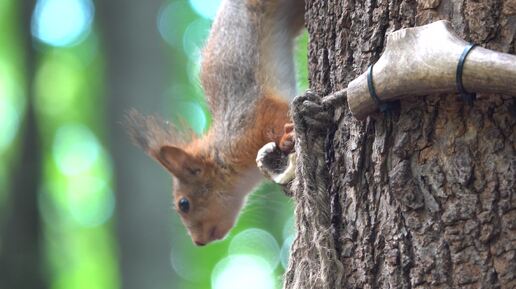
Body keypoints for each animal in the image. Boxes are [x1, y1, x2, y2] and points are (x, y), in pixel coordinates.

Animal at [125, 0, 302, 245]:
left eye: (184, 204)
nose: (198, 242)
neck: (225, 152)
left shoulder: (254, 117)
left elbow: (279, 116)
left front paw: (287, 136)